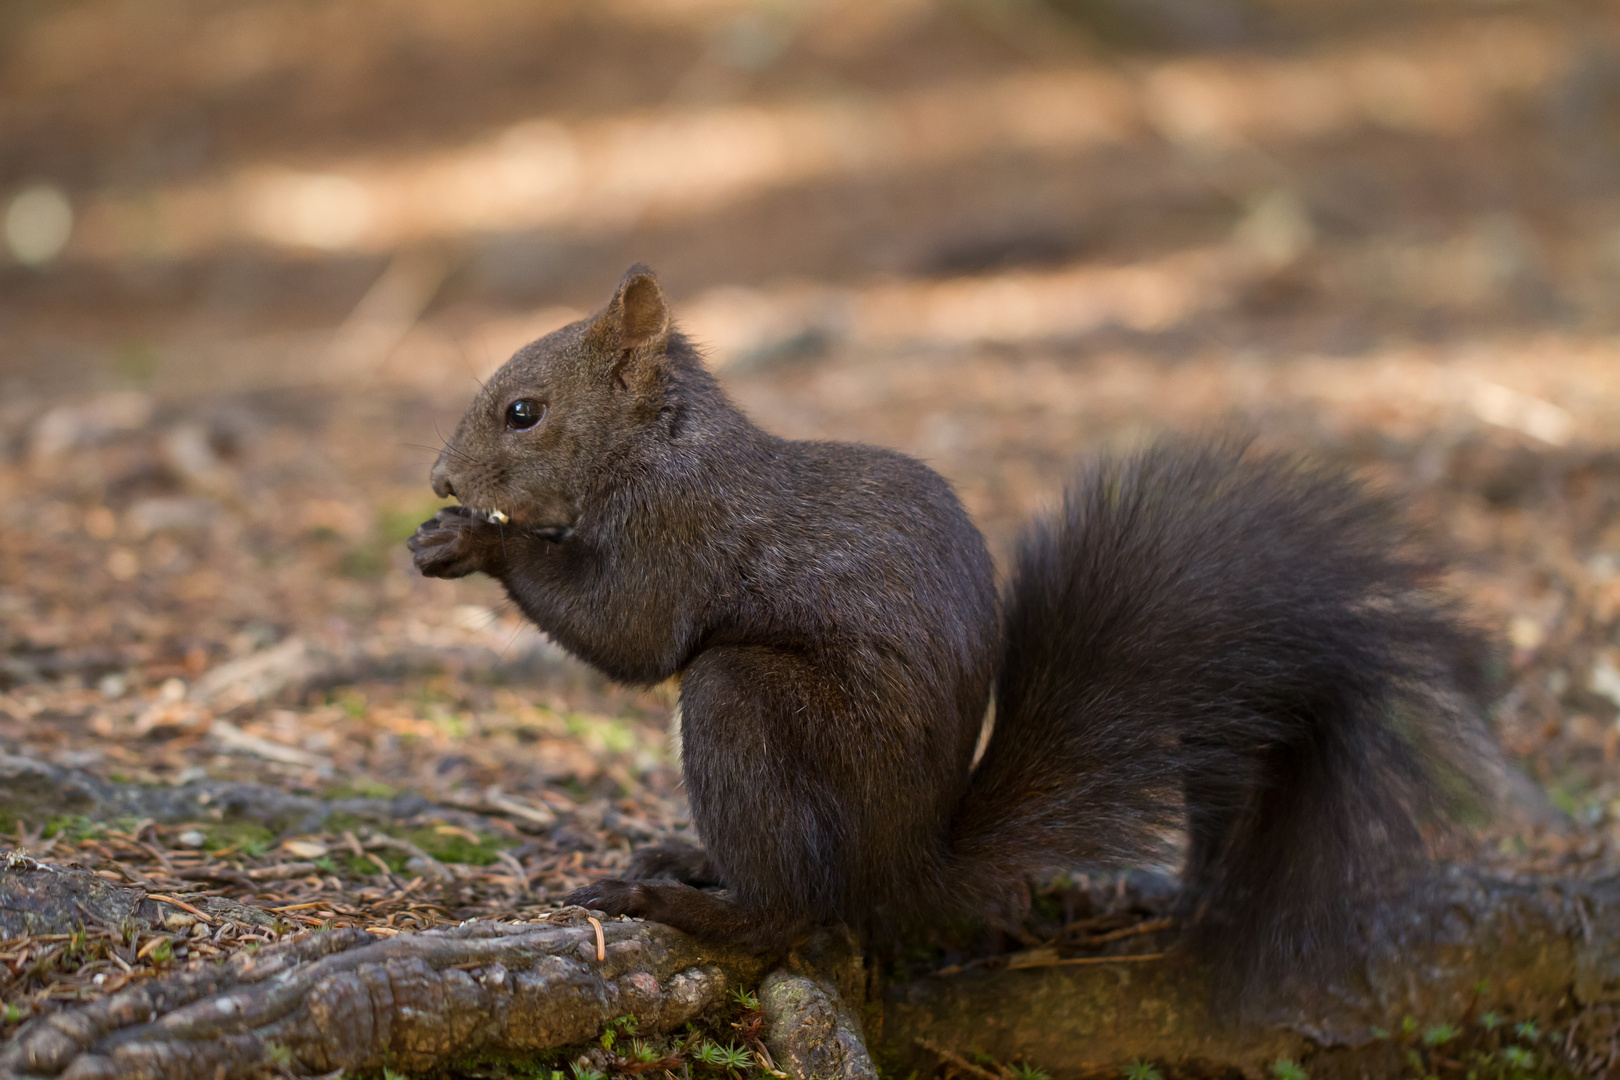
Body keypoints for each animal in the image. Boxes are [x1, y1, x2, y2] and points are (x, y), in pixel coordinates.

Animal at [414, 265, 1490, 990]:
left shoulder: (680, 533)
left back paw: (674, 902)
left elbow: (631, 633)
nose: (439, 481)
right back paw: (684, 859)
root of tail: (911, 864)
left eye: (524, 412)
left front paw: (477, 542)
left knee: (793, 910)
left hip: (752, 709)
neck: (659, 448)